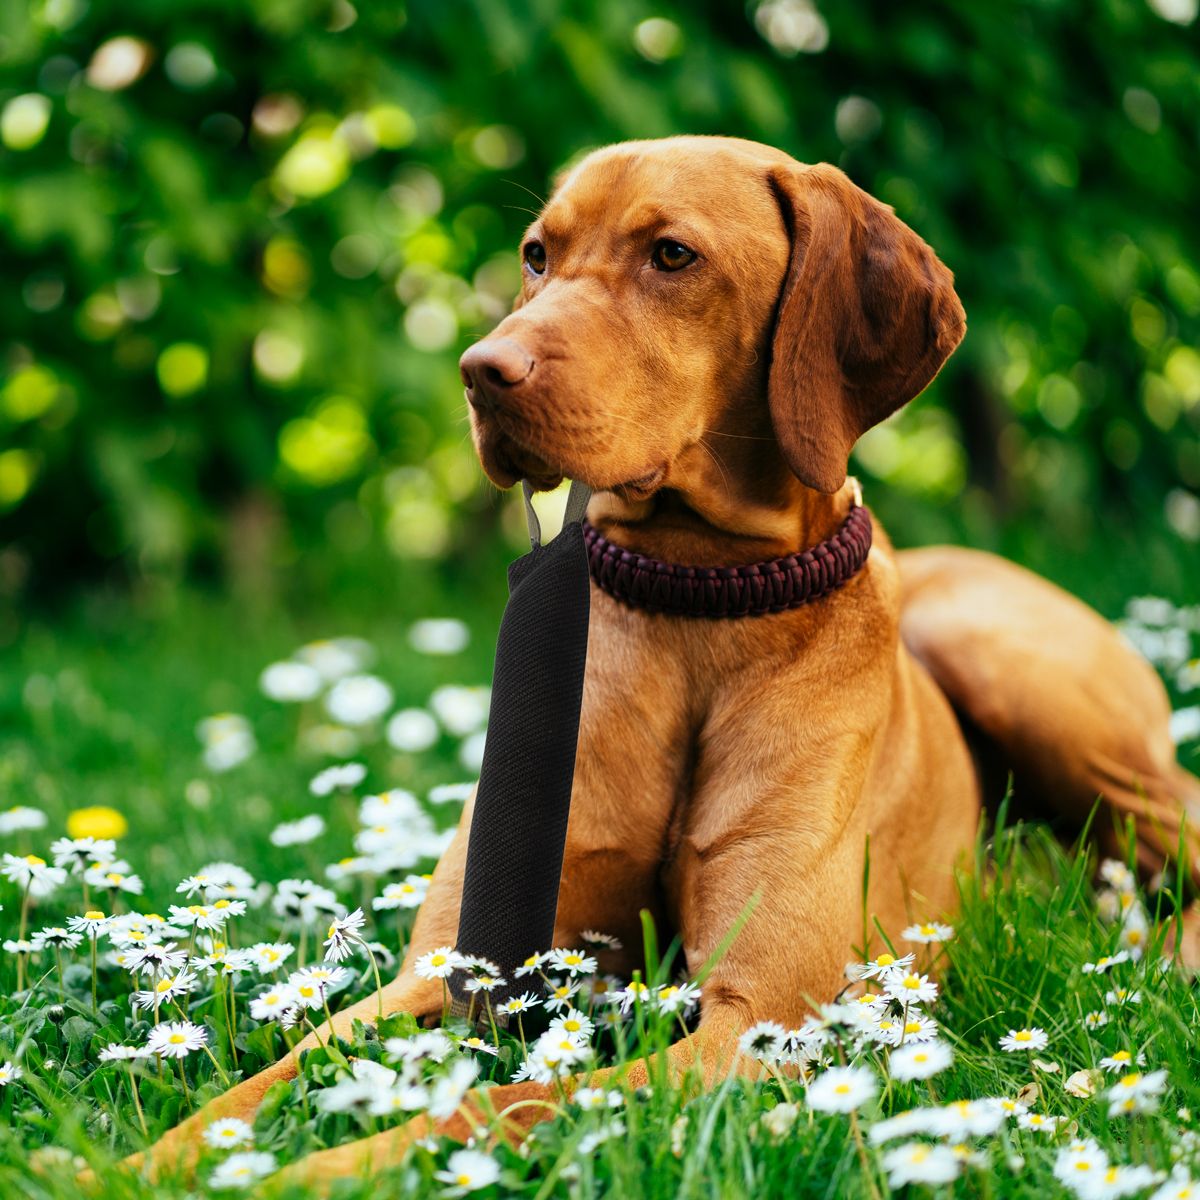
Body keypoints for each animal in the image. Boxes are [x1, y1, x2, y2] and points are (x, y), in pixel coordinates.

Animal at [129, 138, 1200, 1180]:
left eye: (672, 256)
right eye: (537, 255)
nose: (480, 369)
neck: (696, 596)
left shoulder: (760, 1020)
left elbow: (501, 1103)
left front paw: (312, 1169)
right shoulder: (454, 969)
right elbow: (270, 1077)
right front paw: (143, 1160)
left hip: (1019, 674)